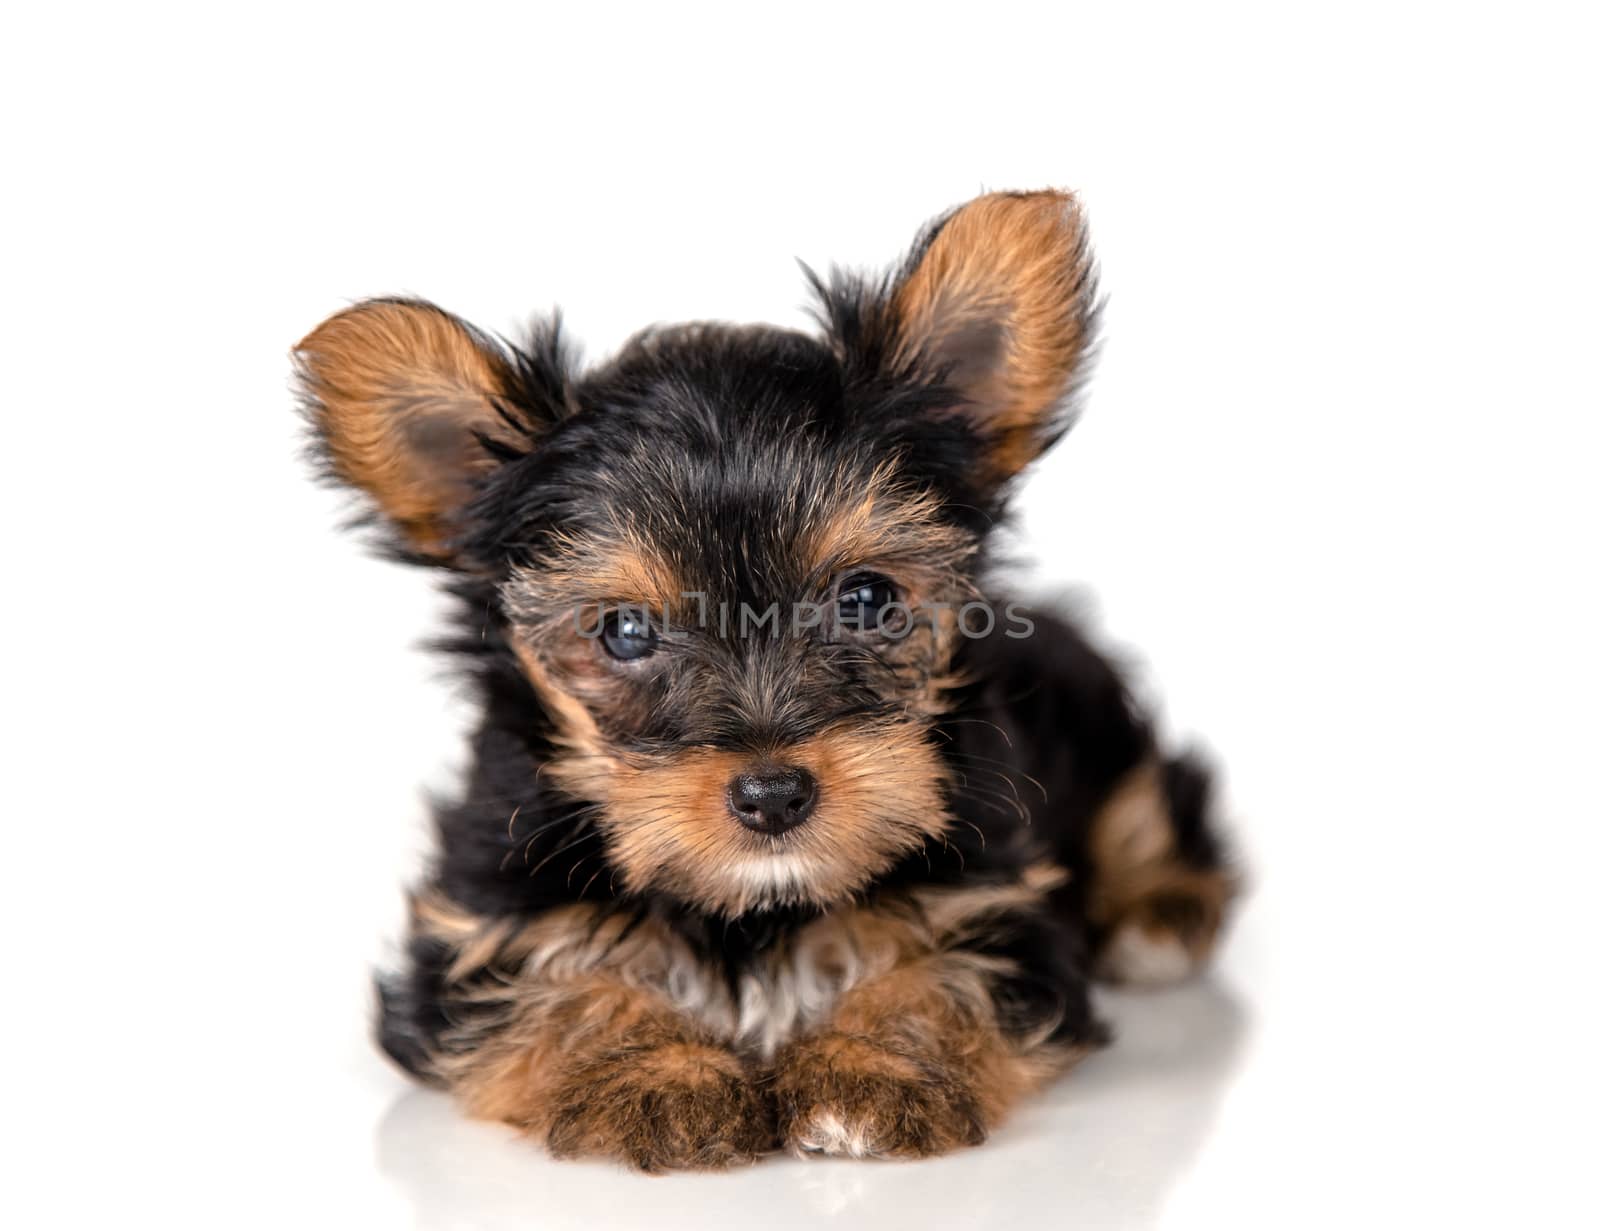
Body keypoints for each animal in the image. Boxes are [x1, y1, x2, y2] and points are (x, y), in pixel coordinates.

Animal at [297, 187, 1235, 1165]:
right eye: (625, 631)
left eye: (866, 598)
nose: (773, 793)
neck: (751, 907)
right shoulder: (476, 929)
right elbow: (558, 988)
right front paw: (654, 1076)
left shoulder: (1000, 902)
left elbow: (944, 971)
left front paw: (872, 1071)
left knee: (1156, 802)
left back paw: (1161, 911)